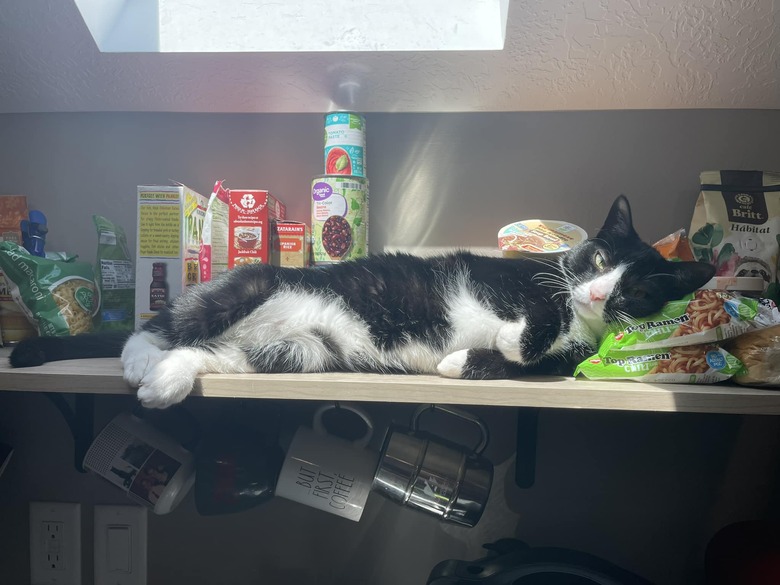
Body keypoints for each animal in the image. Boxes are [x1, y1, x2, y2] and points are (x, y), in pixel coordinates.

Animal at [10, 196, 712, 406]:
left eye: (636, 289)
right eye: (597, 260)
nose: (595, 290)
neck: (579, 316)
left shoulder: (572, 360)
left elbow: (537, 364)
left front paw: (463, 362)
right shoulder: (509, 282)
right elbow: (532, 321)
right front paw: (511, 337)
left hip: (298, 351)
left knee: (207, 354)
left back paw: (167, 381)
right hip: (245, 286)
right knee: (163, 325)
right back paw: (139, 360)